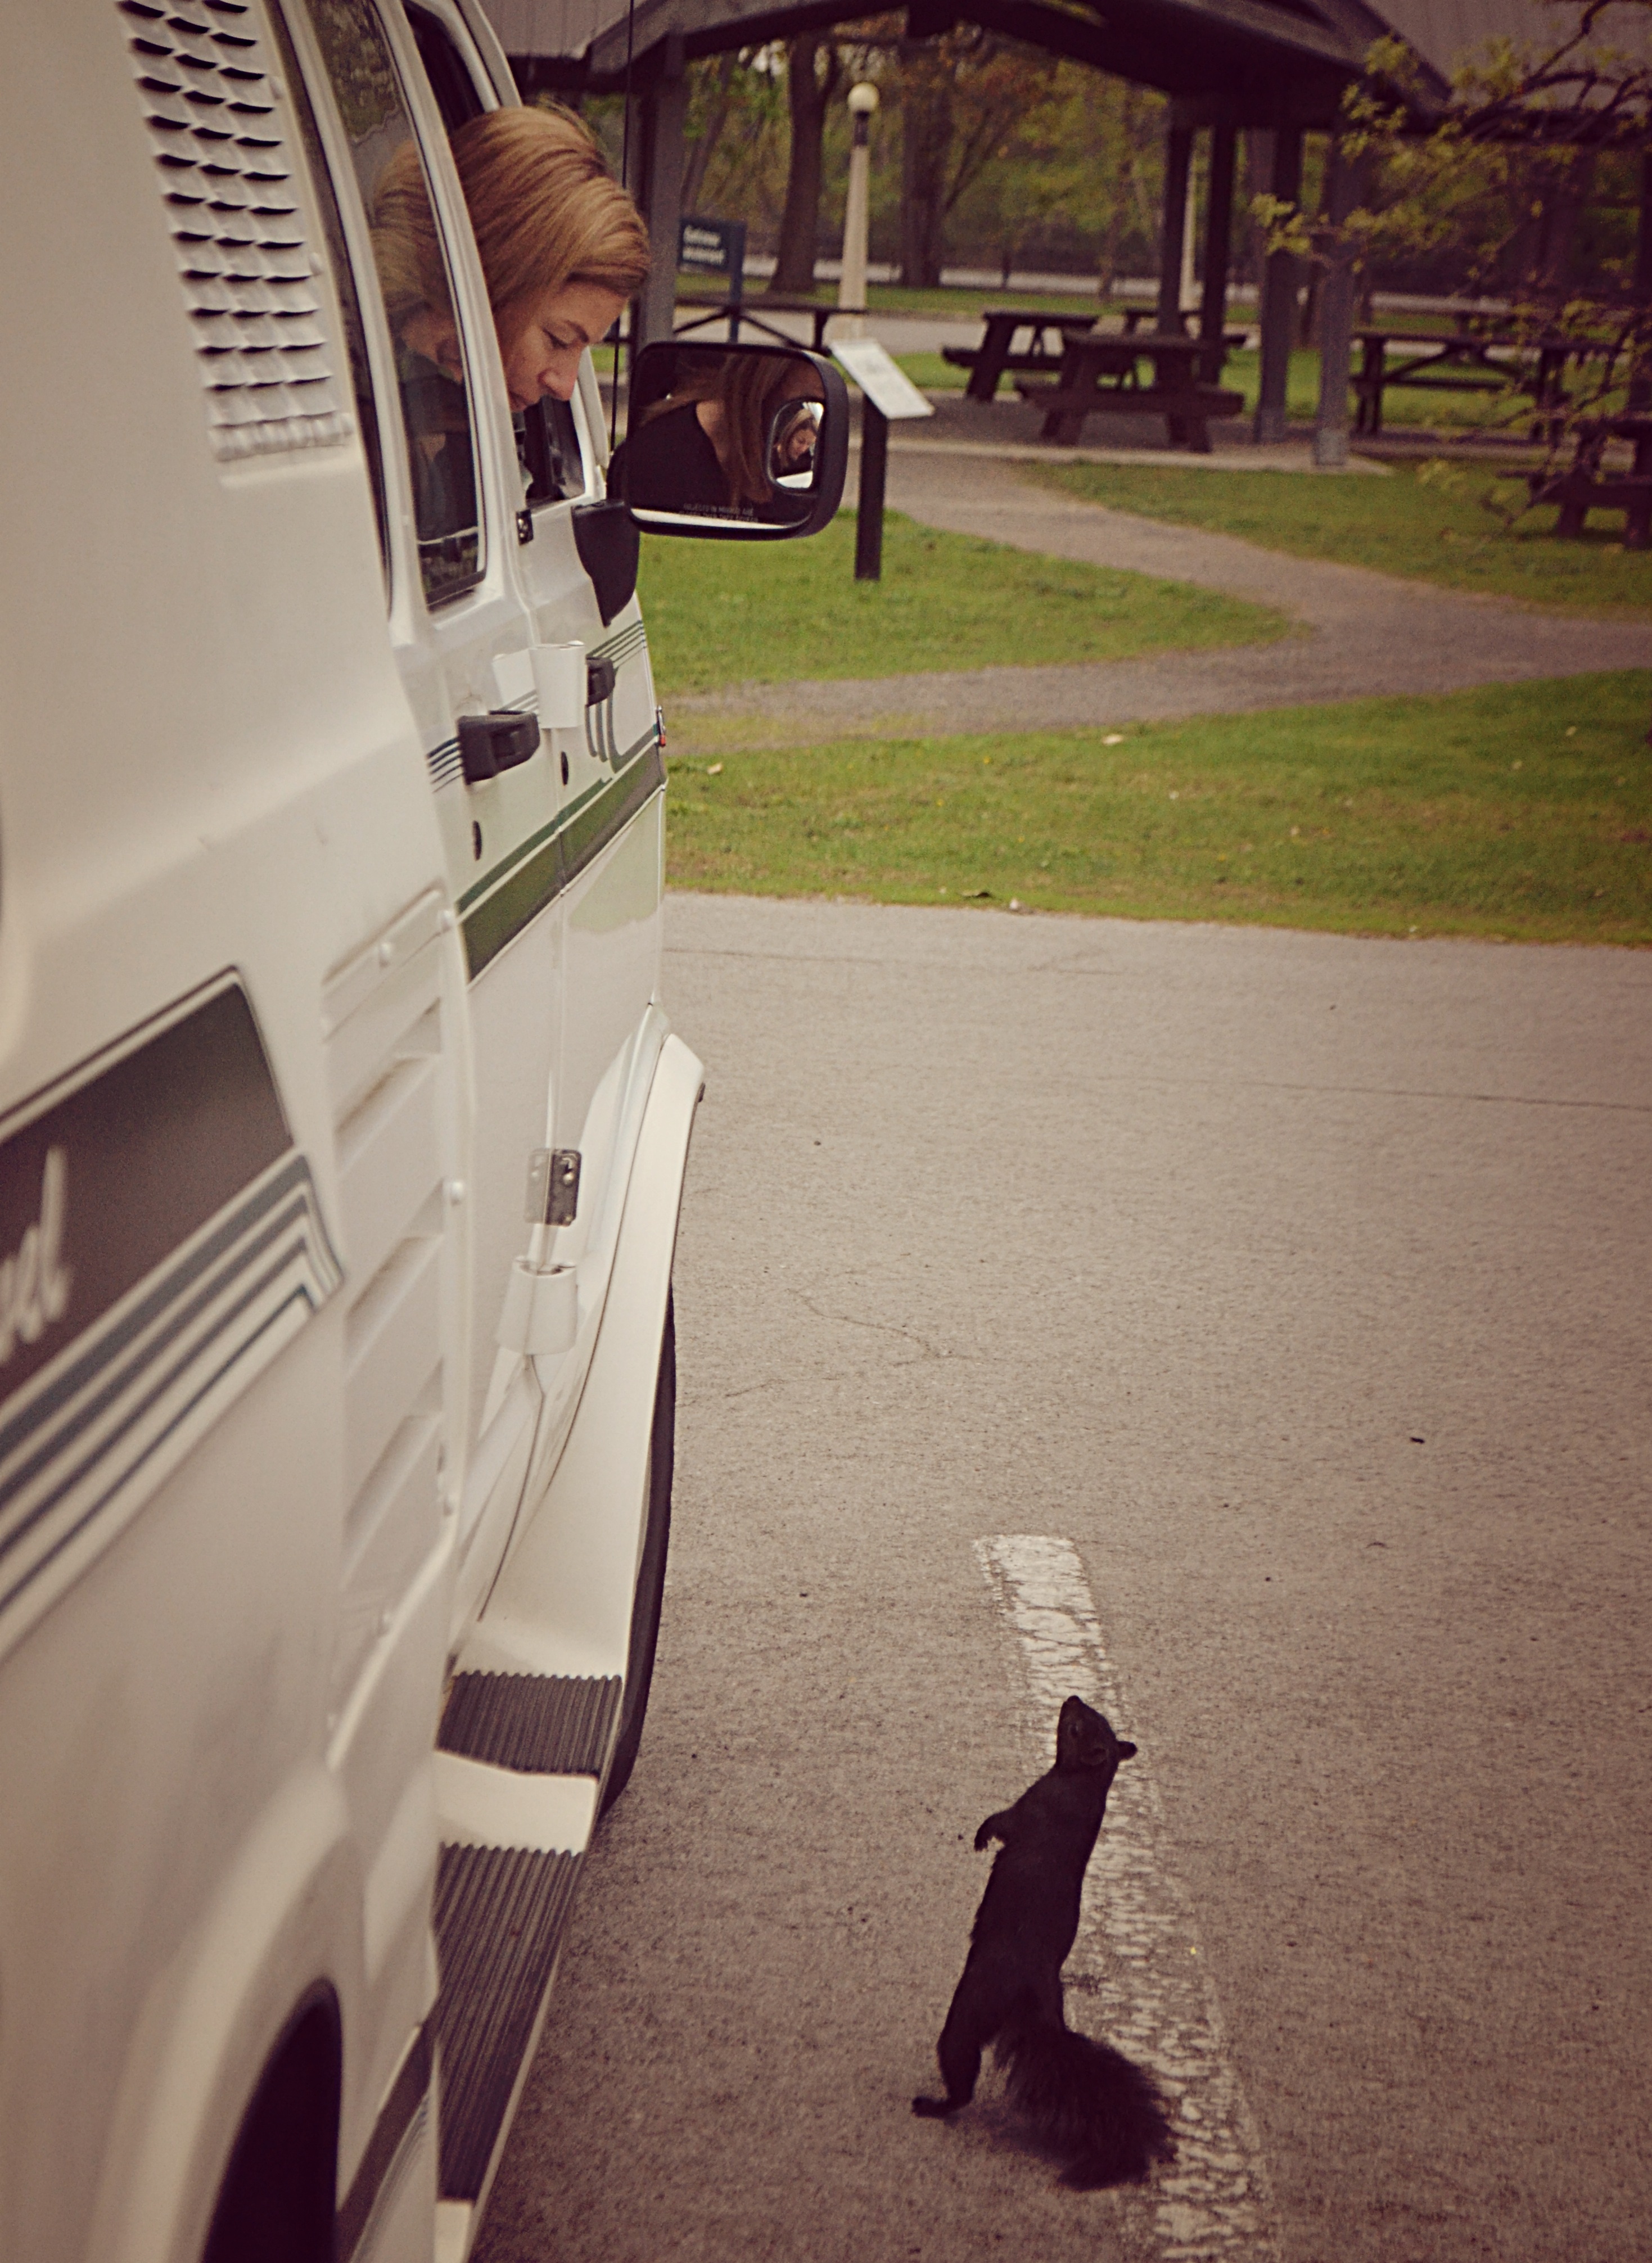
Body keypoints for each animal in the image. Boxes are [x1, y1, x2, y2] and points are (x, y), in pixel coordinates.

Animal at [912, 1693, 1175, 2189]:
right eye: (1093, 1717)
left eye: (1078, 1726)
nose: (1072, 1697)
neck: (1083, 1784)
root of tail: (1035, 1997)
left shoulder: (1030, 1807)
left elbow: (1001, 1822)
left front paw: (980, 1837)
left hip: (970, 2009)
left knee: (960, 2067)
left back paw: (934, 2105)